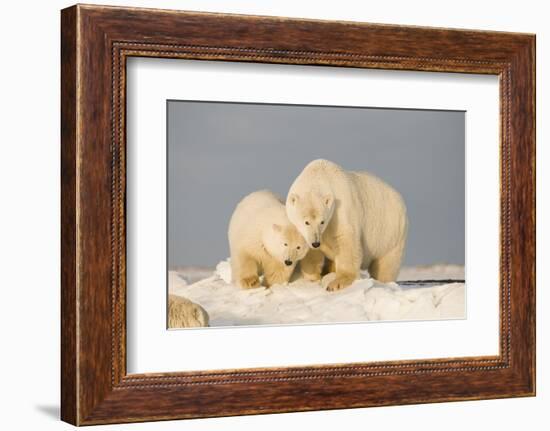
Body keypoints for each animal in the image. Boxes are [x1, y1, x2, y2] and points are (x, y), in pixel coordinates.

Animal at [288, 160, 410, 292]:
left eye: (322, 221)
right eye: (306, 222)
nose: (316, 243)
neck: (319, 176)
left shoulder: (340, 211)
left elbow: (346, 241)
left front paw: (337, 283)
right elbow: (311, 252)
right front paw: (313, 278)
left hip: (390, 233)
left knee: (386, 265)